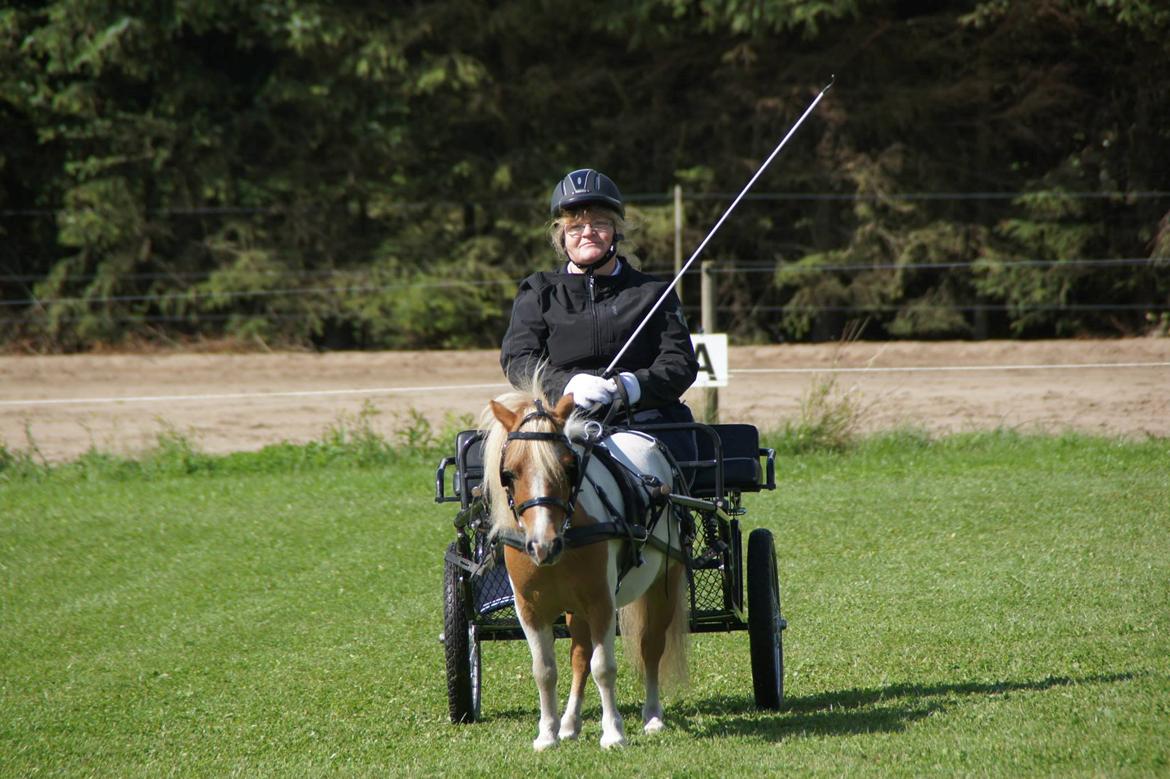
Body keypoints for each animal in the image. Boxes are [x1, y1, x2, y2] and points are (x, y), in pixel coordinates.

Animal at [479, 388, 687, 748]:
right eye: (509, 473)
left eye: (568, 467)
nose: (543, 545)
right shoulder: (529, 609)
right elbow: (545, 669)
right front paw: (548, 734)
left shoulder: (601, 601)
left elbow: (604, 666)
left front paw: (613, 732)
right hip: (575, 608)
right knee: (579, 656)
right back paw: (569, 723)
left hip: (663, 580)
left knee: (650, 647)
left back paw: (653, 716)